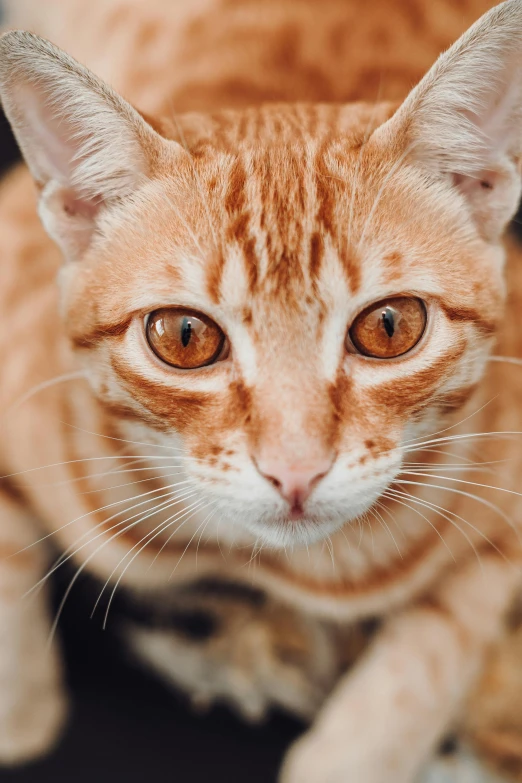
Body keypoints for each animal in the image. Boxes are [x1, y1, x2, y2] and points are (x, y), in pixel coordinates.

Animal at [1, 0, 520, 780]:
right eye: (185, 337)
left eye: (390, 326)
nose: (295, 471)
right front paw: (22, 716)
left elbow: (435, 644)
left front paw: (350, 756)